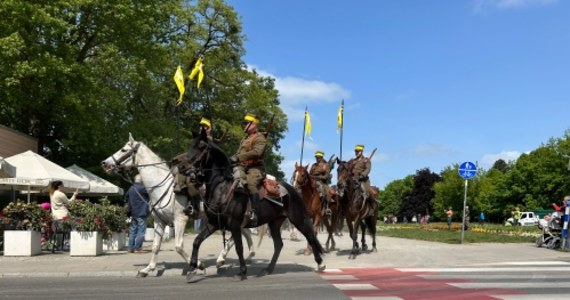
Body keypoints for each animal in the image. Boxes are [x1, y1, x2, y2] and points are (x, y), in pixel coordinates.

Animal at [101, 133, 205, 276]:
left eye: (123, 150)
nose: (104, 163)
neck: (163, 187)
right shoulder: (159, 221)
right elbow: (155, 246)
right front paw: (148, 269)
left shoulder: (180, 219)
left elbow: (178, 246)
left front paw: (198, 265)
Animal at [183, 129, 322, 282]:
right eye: (190, 145)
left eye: (201, 146)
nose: (184, 167)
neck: (222, 188)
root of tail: (293, 190)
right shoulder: (214, 223)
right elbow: (197, 241)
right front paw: (192, 269)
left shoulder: (235, 225)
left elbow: (239, 248)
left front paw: (242, 272)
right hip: (275, 223)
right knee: (279, 244)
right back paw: (268, 269)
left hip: (298, 219)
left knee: (310, 236)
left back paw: (320, 264)